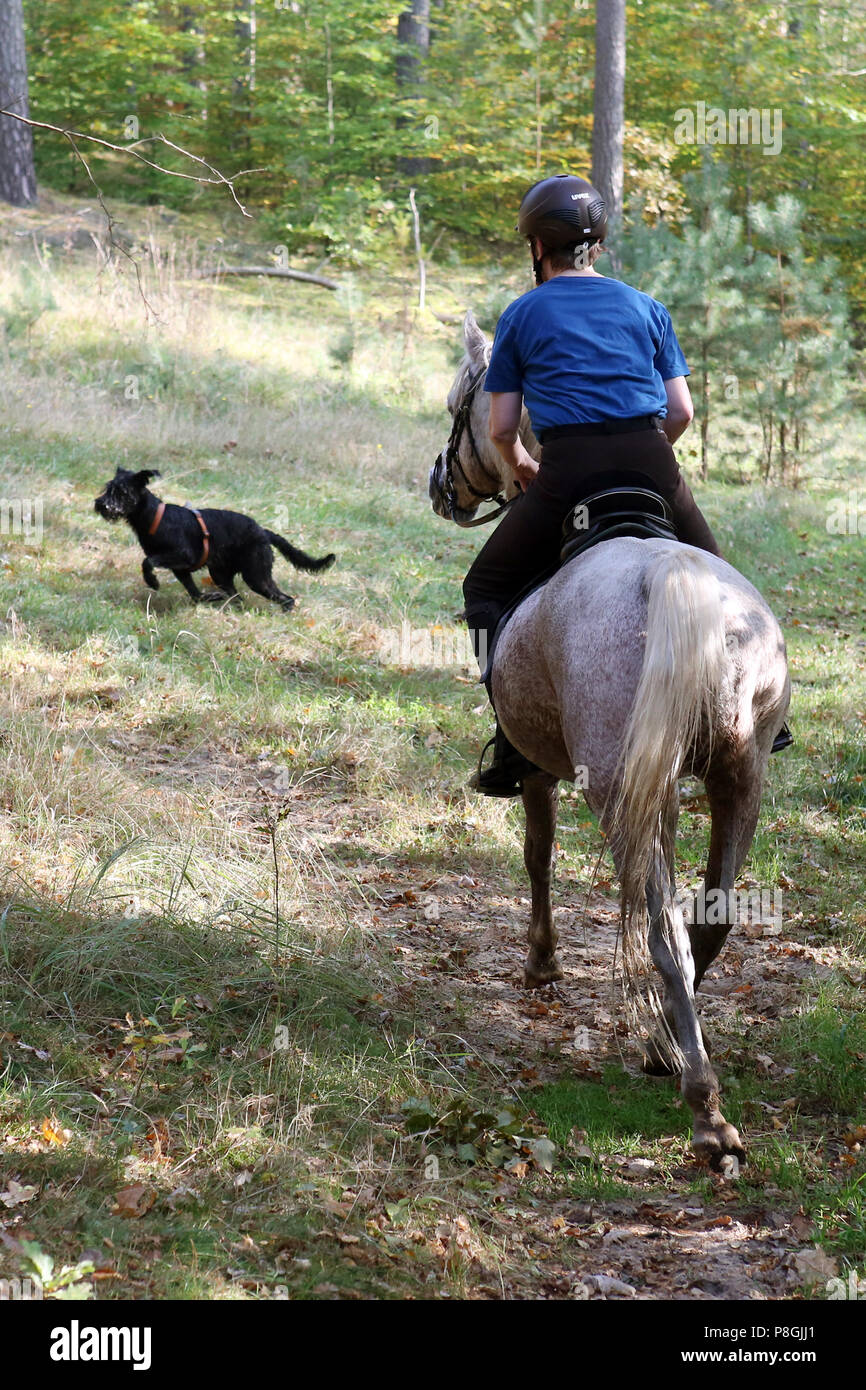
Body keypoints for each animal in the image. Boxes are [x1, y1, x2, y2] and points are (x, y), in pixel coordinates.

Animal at [95, 469, 335, 611]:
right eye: (108, 488)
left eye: (122, 492)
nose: (101, 504)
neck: (154, 516)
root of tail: (264, 532)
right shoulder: (181, 570)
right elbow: (195, 594)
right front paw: (210, 598)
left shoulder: (182, 555)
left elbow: (148, 562)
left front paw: (152, 581)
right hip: (221, 574)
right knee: (239, 597)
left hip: (257, 576)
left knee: (286, 598)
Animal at [428, 309, 795, 1167]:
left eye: (461, 404)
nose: (440, 486)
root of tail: (669, 577)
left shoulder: (538, 767)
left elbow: (536, 855)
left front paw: (541, 961)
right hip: (740, 776)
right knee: (707, 917)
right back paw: (673, 1051)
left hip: (619, 786)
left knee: (662, 927)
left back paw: (702, 1105)